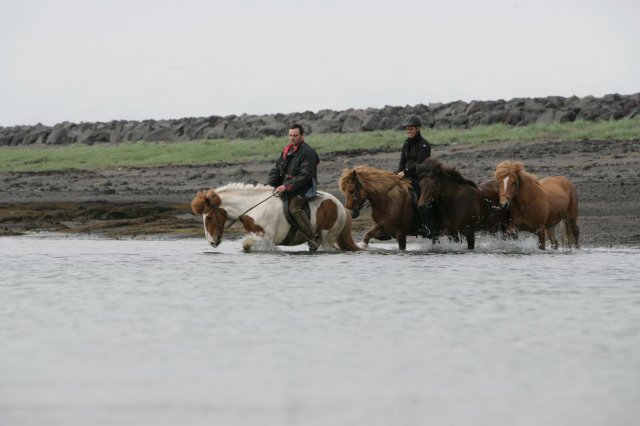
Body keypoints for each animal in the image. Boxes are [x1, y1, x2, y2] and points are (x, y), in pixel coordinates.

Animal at [189, 181, 360, 251]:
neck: (254, 207)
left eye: (208, 217)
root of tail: (340, 205)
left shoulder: (266, 236)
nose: (211, 242)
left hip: (327, 238)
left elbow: (248, 244)